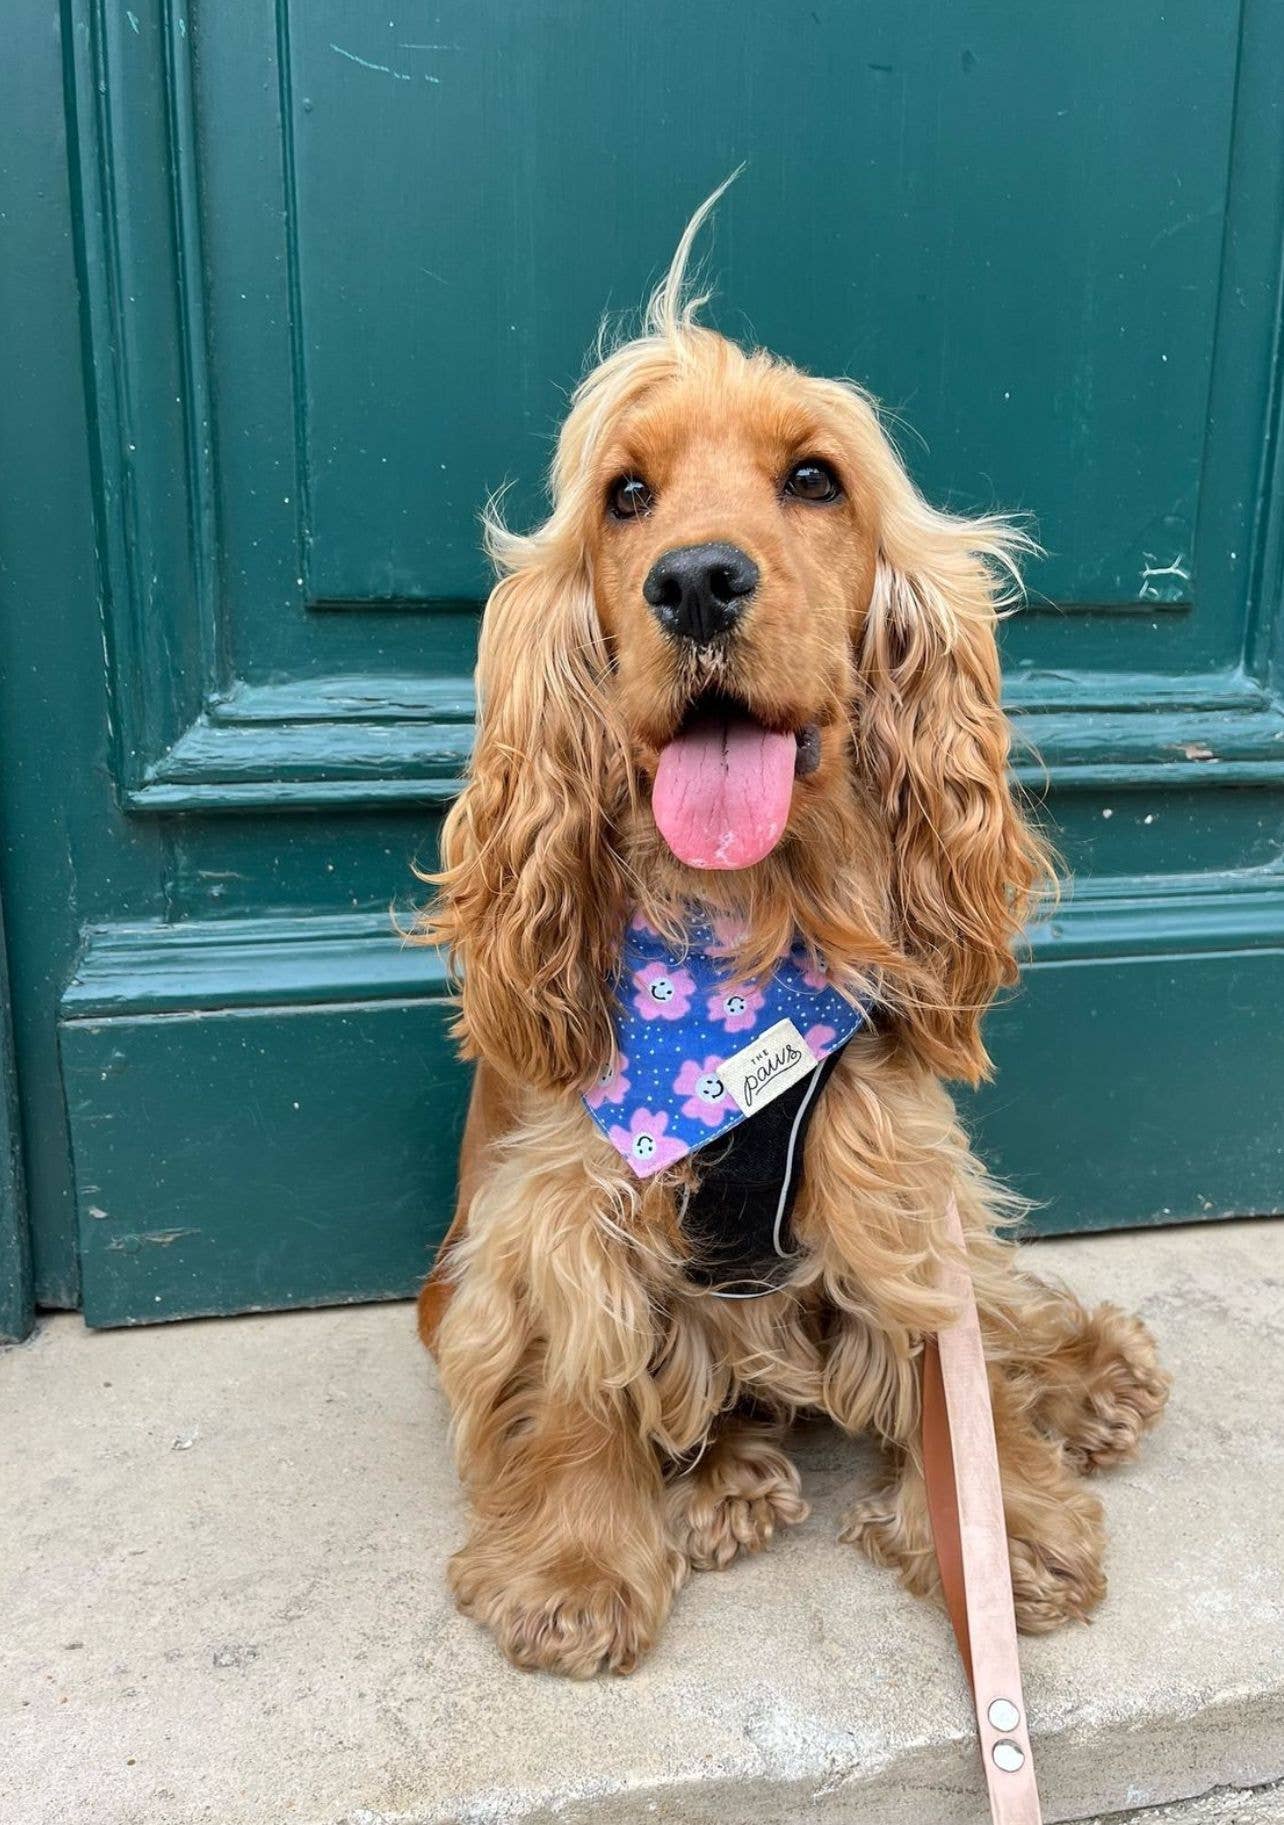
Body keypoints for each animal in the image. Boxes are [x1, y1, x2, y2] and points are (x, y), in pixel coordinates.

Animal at [415, 192, 1167, 1671]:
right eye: (626, 496)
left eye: (815, 480)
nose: (697, 582)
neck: (731, 948)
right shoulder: (562, 1199)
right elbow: (583, 1369)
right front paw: (576, 1561)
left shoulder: (894, 1163)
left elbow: (950, 1352)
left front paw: (1005, 1529)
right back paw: (725, 1484)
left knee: (1003, 1310)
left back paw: (1088, 1374)